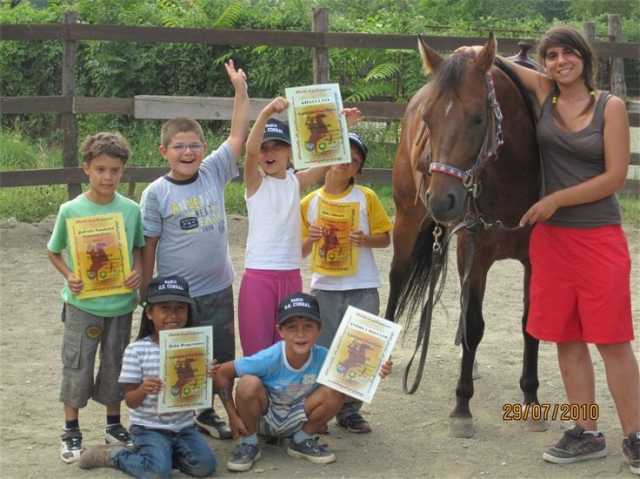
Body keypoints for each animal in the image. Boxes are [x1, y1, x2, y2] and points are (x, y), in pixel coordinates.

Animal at [384, 32, 544, 438]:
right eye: (429, 120)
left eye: (478, 117)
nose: (442, 199)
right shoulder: (471, 251)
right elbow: (473, 322)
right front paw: (462, 405)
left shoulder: (536, 259)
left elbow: (529, 323)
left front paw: (531, 397)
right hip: (408, 218)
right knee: (397, 276)